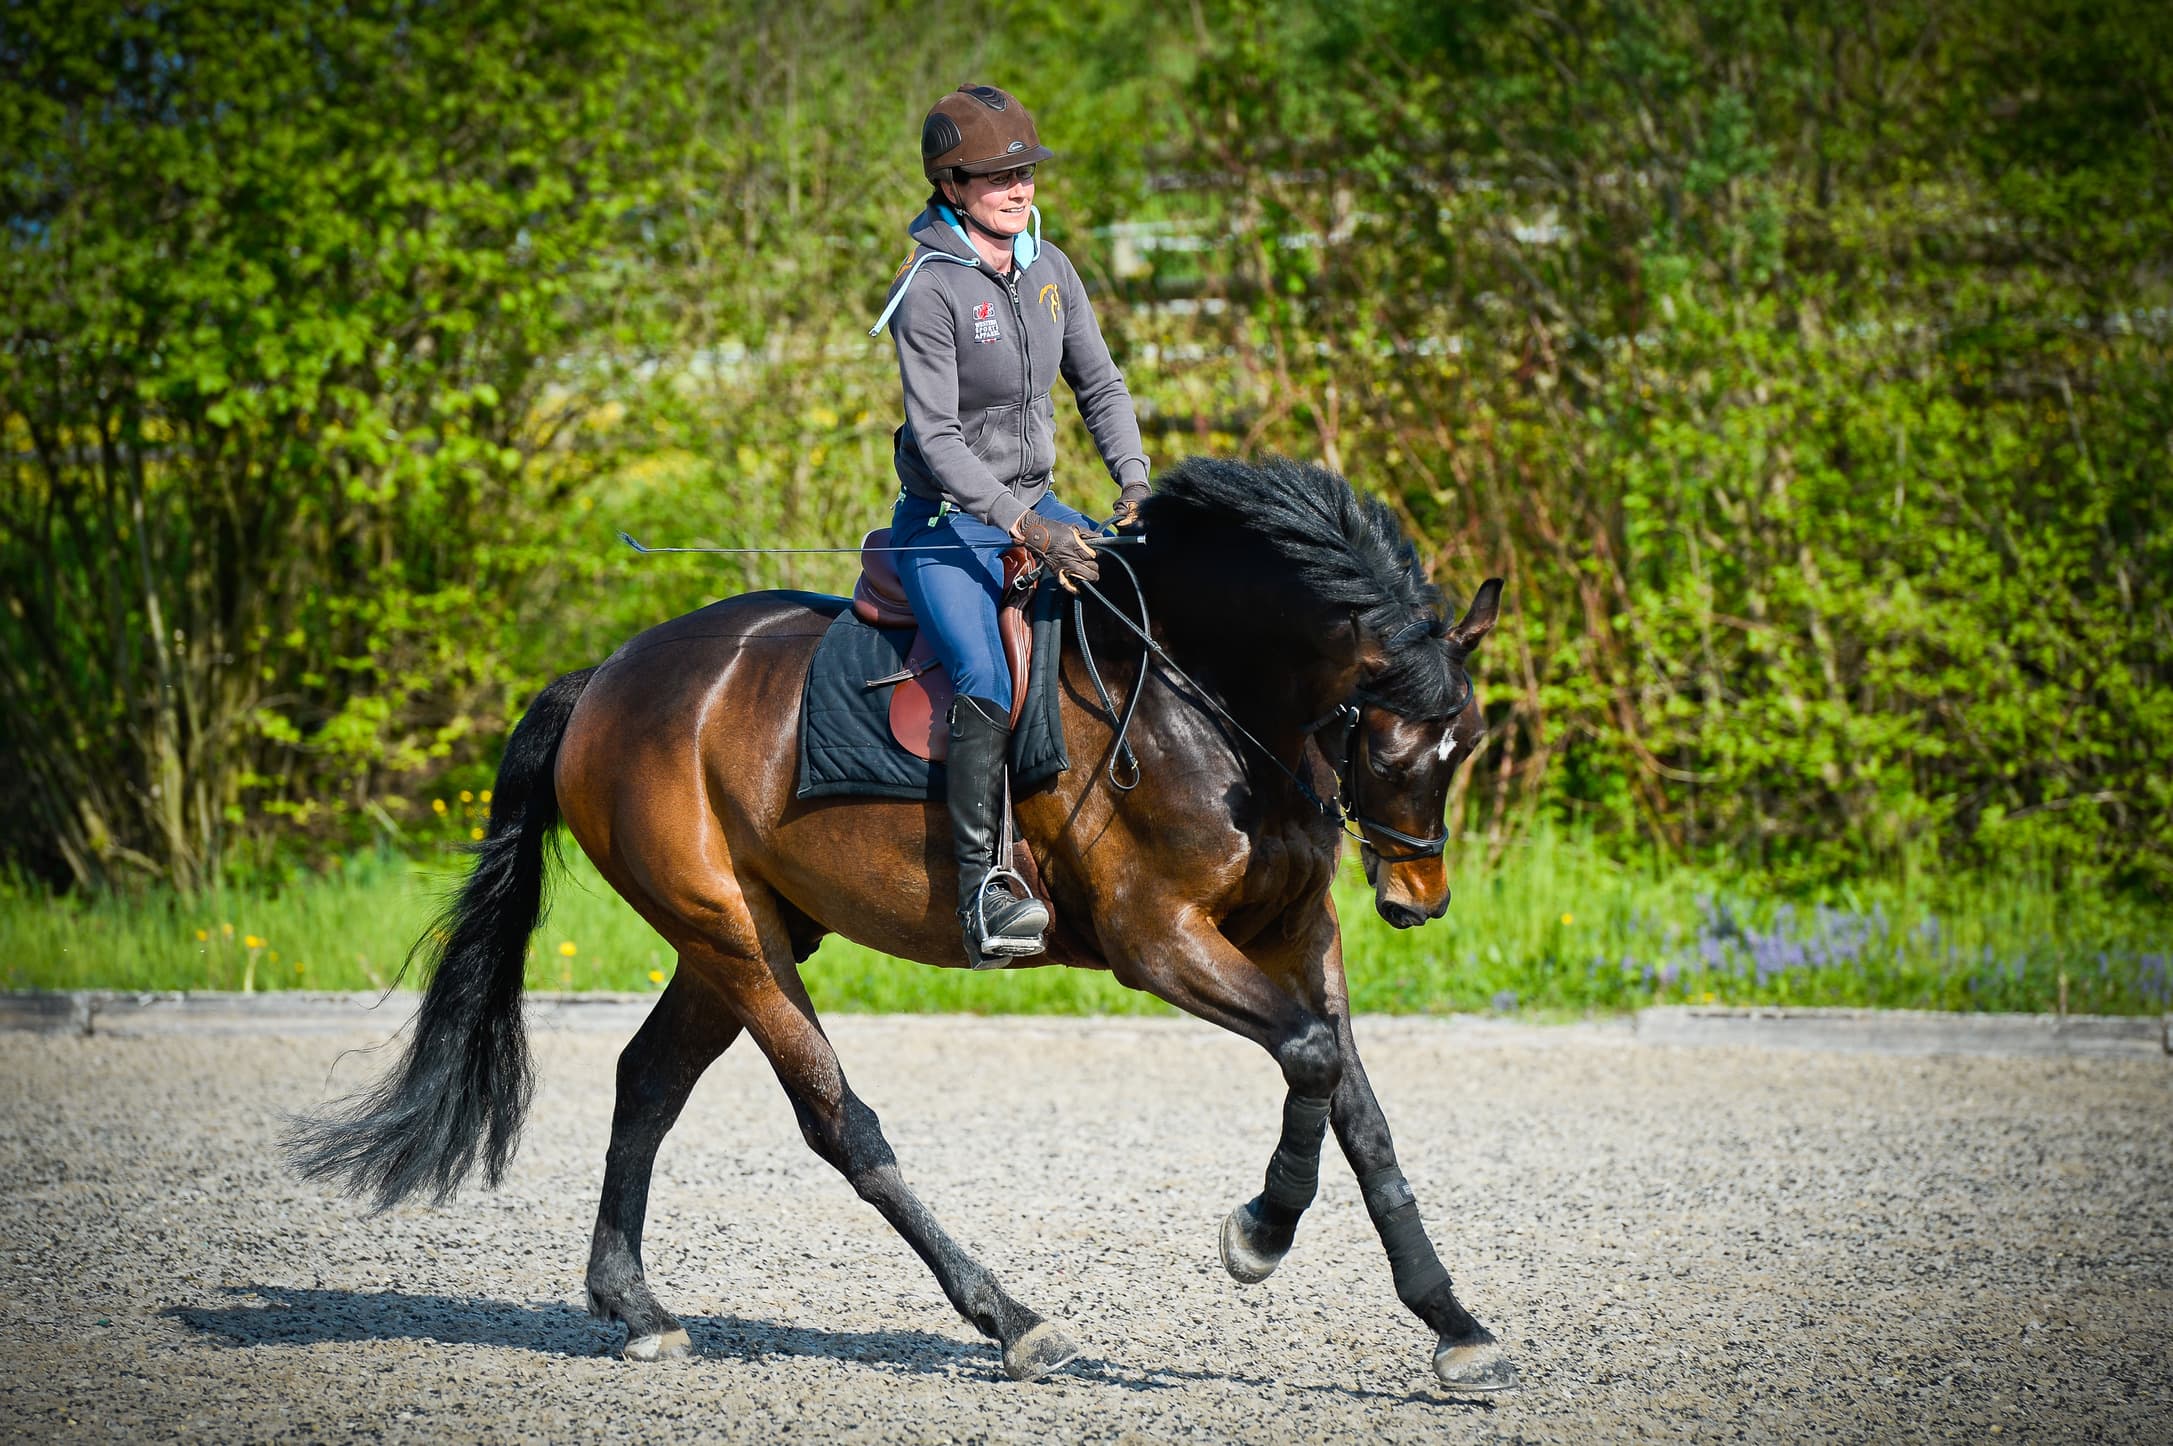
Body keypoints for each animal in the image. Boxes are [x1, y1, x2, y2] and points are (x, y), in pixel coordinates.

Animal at [285, 455, 1512, 1392]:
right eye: (1385, 741)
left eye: (1464, 744)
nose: (1416, 902)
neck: (1201, 693)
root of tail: (606, 680)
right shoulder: (1159, 941)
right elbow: (1308, 1057)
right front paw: (1258, 1234)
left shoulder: (1297, 937)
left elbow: (1356, 1107)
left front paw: (1452, 1326)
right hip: (736, 937)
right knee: (840, 1126)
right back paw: (1013, 1321)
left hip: (738, 936)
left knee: (647, 1083)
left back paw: (637, 1308)